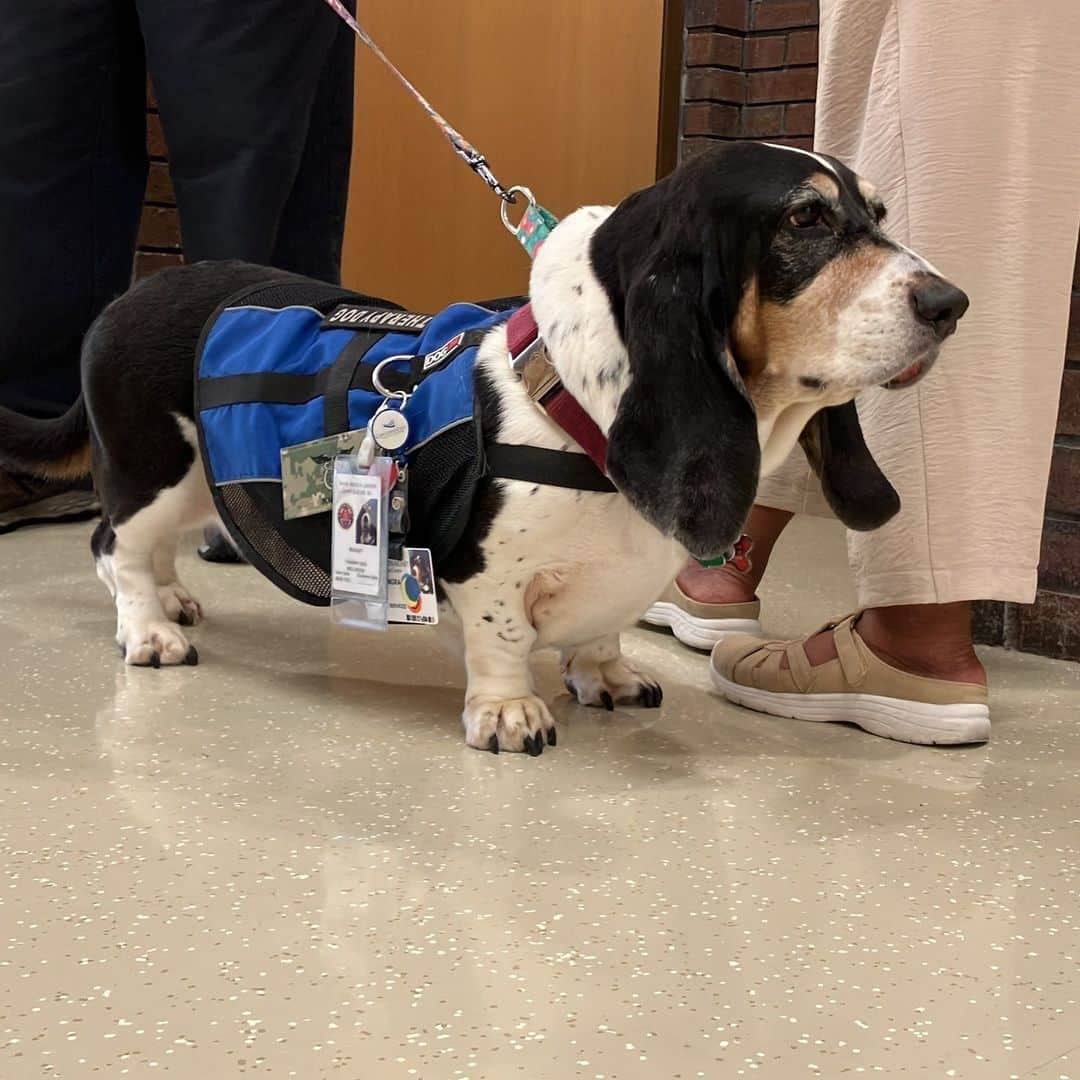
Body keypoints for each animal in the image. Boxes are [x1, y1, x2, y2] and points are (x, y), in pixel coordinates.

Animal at [0, 141, 967, 751]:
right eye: (806, 222)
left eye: (878, 213)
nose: (952, 304)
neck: (573, 407)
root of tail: (125, 298)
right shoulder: (481, 572)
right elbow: (502, 641)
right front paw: (510, 714)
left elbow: (603, 632)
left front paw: (607, 676)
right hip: (152, 471)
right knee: (112, 547)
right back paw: (149, 630)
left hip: (198, 481)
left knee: (151, 549)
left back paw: (171, 600)